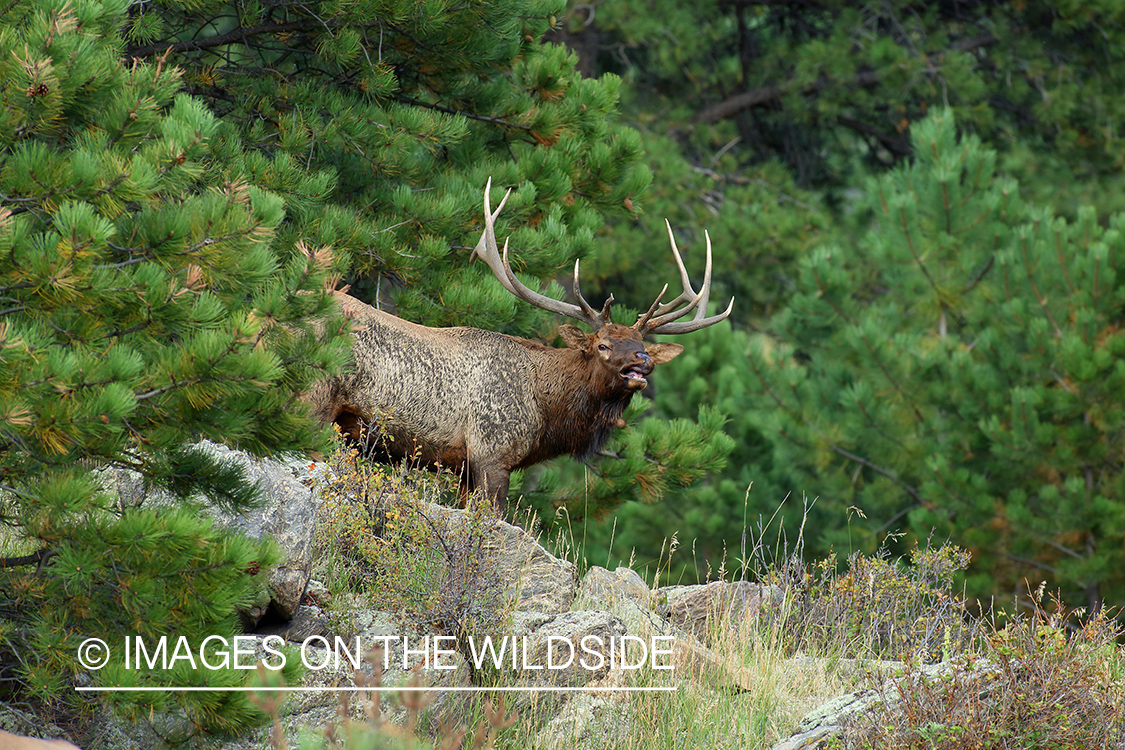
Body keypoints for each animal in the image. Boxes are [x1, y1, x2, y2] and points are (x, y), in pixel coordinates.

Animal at [308, 179, 729, 517]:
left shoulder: (465, 467)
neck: (546, 413)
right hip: (317, 396)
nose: (641, 363)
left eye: (642, 344)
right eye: (603, 345)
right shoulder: (492, 450)